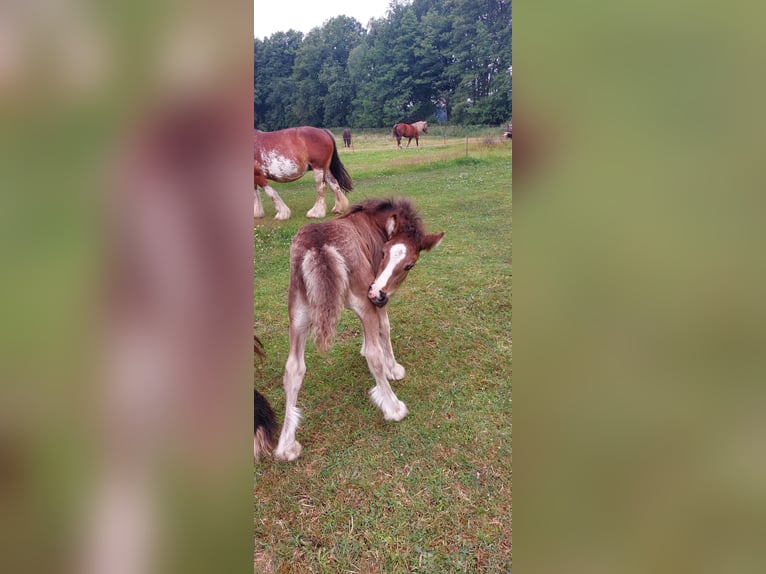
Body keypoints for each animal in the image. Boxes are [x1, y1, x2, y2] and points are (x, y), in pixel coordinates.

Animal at [274, 198, 444, 464]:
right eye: (382, 252)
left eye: (409, 264)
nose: (377, 292)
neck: (375, 224)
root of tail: (318, 245)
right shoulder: (374, 301)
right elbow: (384, 329)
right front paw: (394, 369)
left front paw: (363, 348)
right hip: (363, 300)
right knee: (375, 355)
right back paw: (394, 408)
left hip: (298, 313)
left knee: (293, 368)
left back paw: (286, 446)